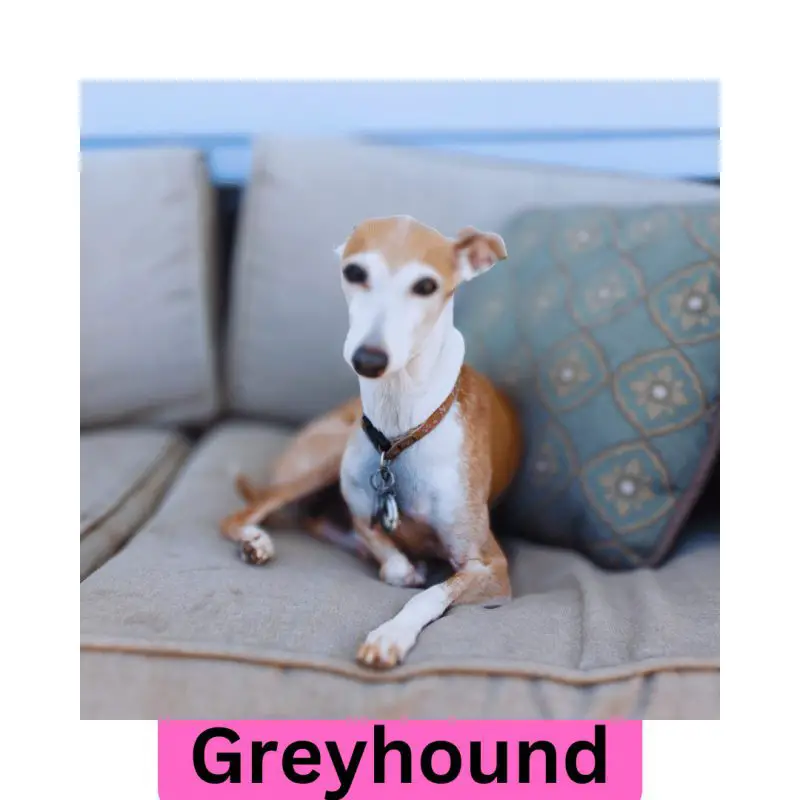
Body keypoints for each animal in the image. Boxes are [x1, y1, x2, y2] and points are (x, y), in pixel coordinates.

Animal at [219, 214, 520, 668]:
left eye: (426, 285)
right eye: (354, 272)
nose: (369, 359)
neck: (400, 433)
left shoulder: (490, 565)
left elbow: (430, 592)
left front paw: (390, 634)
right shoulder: (363, 515)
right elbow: (386, 557)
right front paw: (403, 566)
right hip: (327, 456)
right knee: (247, 514)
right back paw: (256, 542)